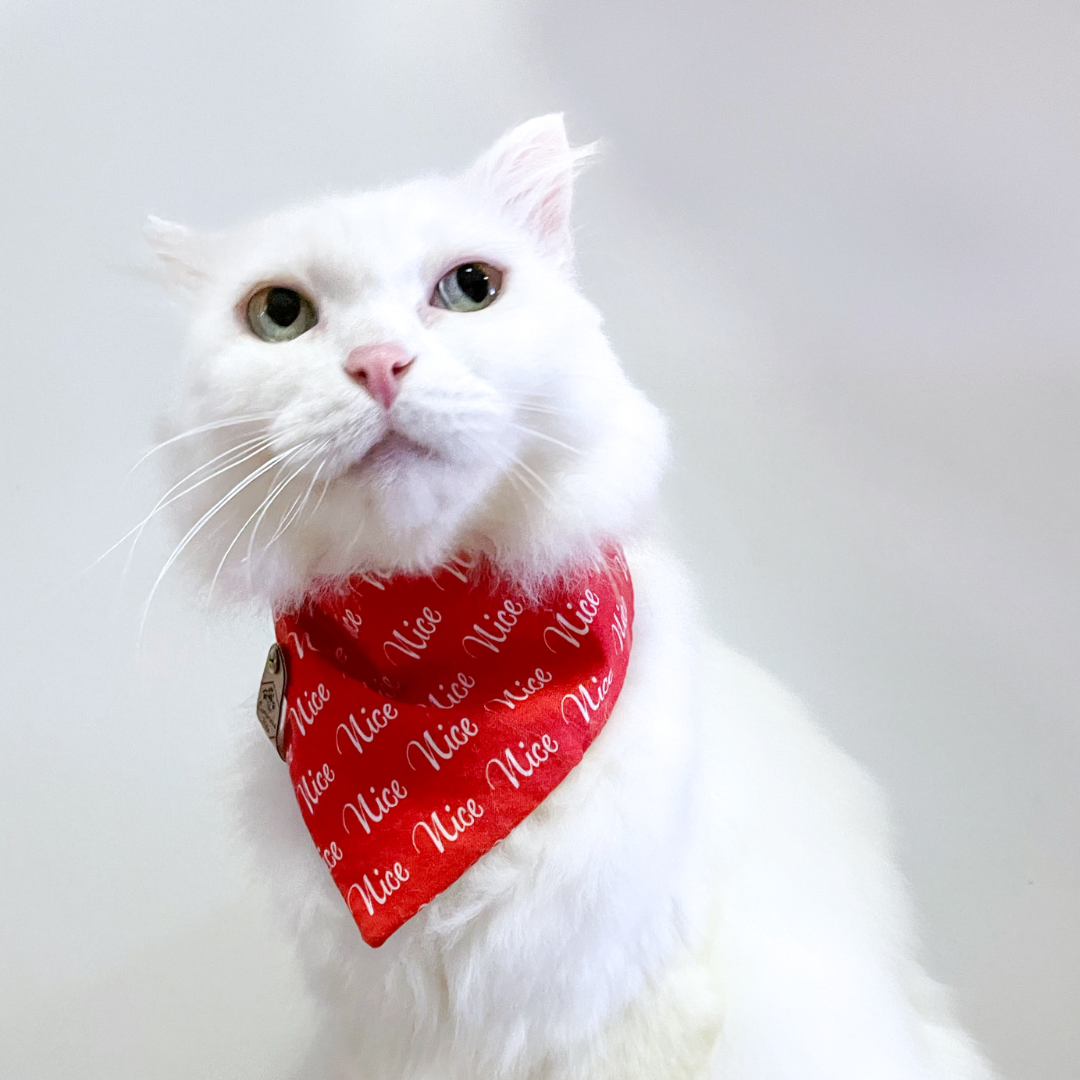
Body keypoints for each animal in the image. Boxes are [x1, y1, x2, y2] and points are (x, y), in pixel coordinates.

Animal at [147, 116, 997, 1080]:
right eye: (280, 315)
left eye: (470, 288)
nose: (378, 364)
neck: (443, 680)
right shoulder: (384, 1036)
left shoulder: (628, 1013)